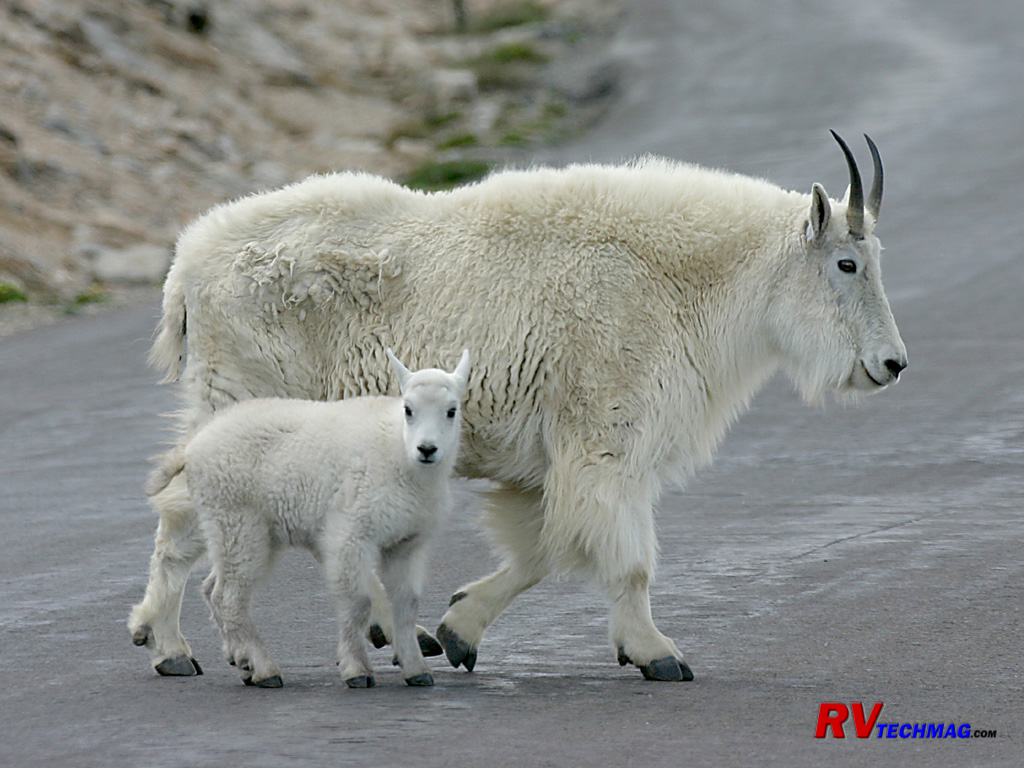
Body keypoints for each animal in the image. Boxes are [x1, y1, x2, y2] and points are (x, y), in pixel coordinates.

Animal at [147, 352, 471, 688]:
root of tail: (194, 445)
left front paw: (417, 669)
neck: (397, 453)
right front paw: (357, 670)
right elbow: (358, 602)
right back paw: (265, 669)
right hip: (237, 521)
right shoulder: (350, 532)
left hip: (238, 531)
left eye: (451, 411)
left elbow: (407, 604)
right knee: (228, 597)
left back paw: (244, 662)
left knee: (213, 587)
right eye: (408, 409)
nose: (427, 449)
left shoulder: (406, 542)